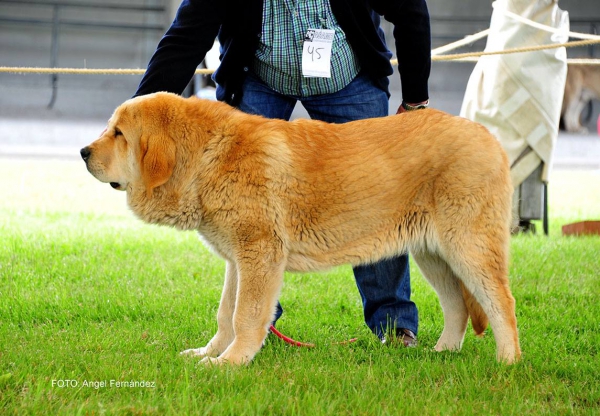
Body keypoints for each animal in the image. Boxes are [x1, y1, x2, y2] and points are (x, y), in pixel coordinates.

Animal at [79, 92, 520, 366]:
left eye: (119, 134)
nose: (83, 152)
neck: (206, 156)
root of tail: (488, 136)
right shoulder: (238, 261)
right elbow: (226, 314)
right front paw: (211, 353)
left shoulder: (259, 254)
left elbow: (246, 315)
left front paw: (231, 363)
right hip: (434, 255)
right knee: (457, 305)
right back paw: (443, 353)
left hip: (468, 249)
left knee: (500, 301)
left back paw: (507, 362)